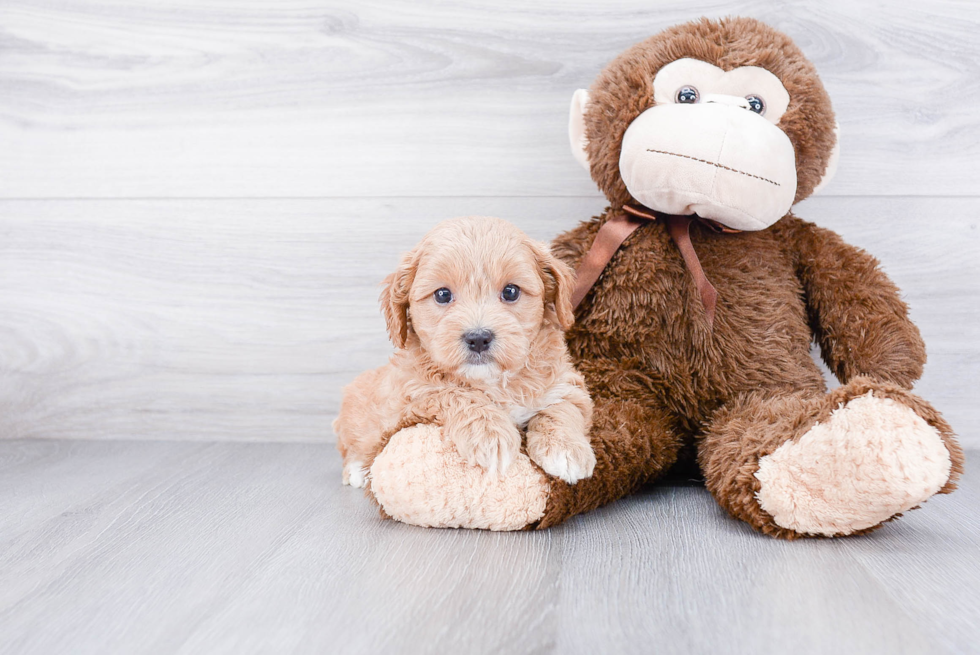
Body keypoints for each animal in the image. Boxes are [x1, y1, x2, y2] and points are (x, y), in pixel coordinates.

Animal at [334, 218, 592, 490]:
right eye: (442, 294)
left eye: (511, 291)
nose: (478, 338)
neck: (492, 381)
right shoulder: (410, 396)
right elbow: (454, 393)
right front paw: (490, 434)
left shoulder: (565, 382)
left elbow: (564, 406)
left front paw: (566, 448)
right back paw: (357, 470)